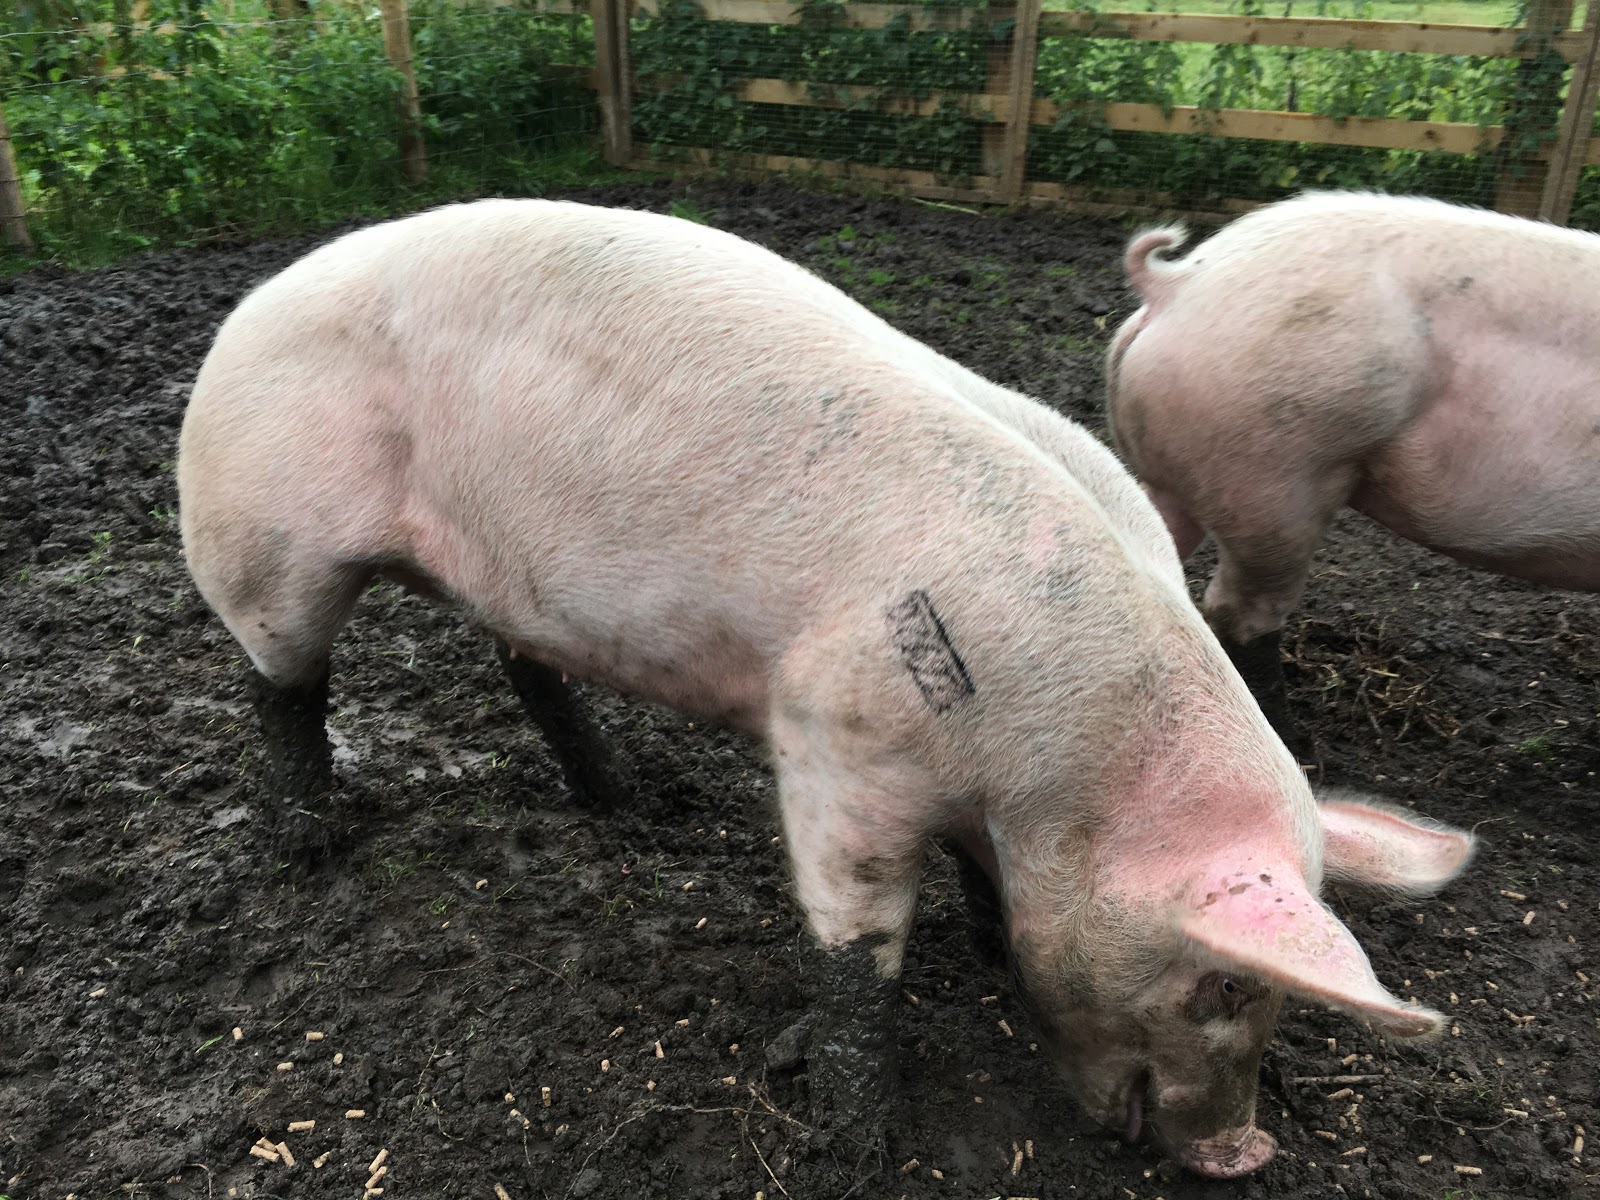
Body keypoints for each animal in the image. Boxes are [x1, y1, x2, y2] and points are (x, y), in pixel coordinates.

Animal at [177, 198, 1474, 1178]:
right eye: (1221, 983)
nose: (1244, 1154)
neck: (1060, 776)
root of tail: (252, 304)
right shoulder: (838, 742)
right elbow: (861, 952)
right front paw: (856, 1134)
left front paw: (990, 950)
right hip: (264, 538)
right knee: (284, 685)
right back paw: (306, 844)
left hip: (511, 578)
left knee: (525, 668)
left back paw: (632, 804)